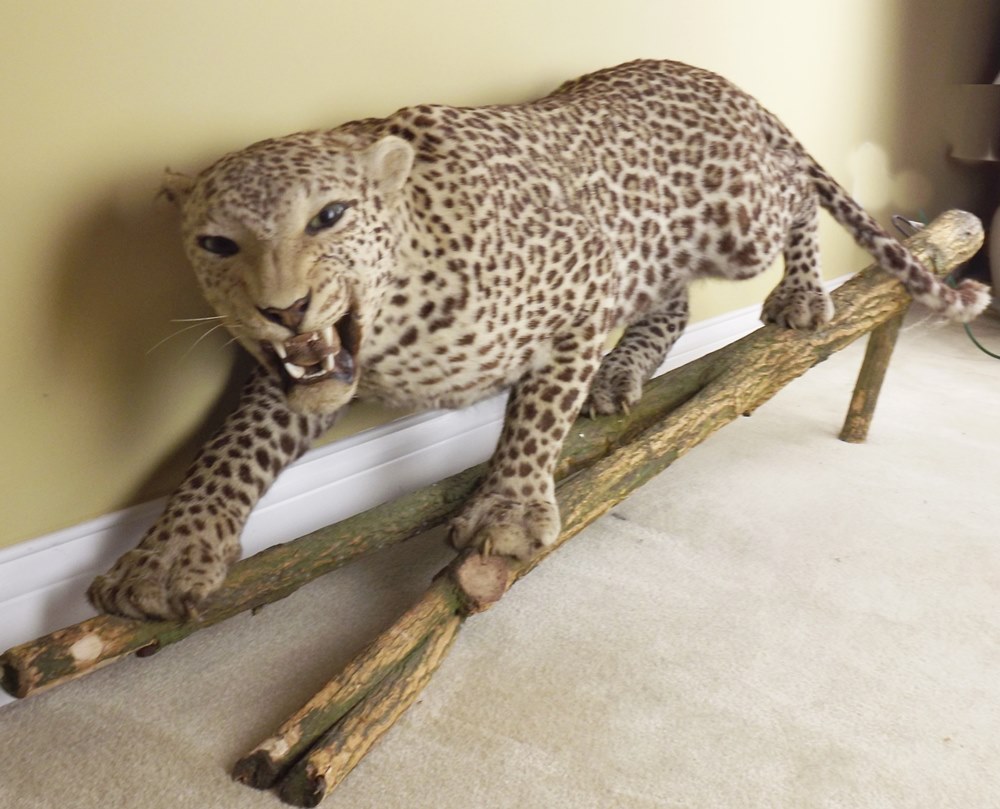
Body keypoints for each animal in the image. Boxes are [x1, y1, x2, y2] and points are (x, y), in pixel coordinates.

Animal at [88, 59, 990, 620]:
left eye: (330, 216)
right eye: (217, 244)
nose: (285, 307)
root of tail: (726, 83)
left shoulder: (583, 287)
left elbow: (537, 413)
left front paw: (511, 509)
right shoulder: (296, 375)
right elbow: (226, 454)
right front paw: (163, 559)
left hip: (740, 220)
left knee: (798, 195)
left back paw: (803, 292)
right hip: (665, 249)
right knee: (670, 305)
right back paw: (622, 374)